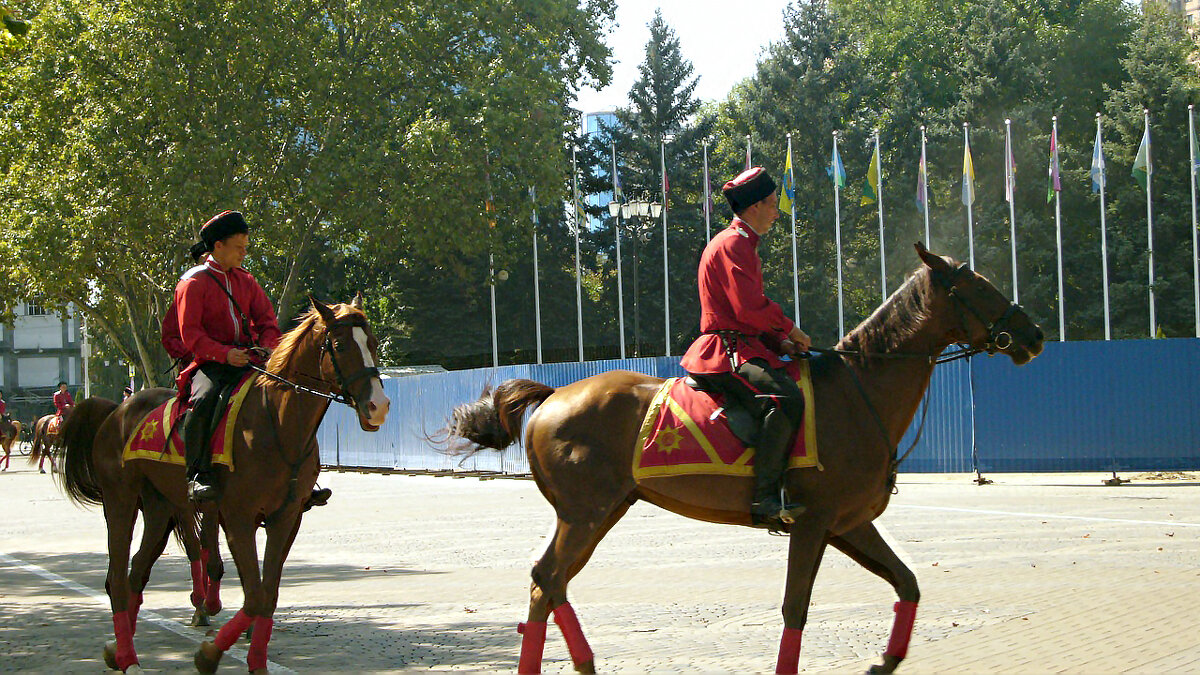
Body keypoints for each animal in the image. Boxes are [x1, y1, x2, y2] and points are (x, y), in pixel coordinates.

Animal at [59, 296, 388, 667]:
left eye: (373, 343)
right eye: (340, 345)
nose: (378, 406)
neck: (276, 423)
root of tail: (117, 411)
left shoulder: (286, 518)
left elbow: (267, 594)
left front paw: (254, 660)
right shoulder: (238, 518)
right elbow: (253, 593)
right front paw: (209, 653)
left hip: (160, 508)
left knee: (136, 573)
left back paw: (118, 649)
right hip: (122, 502)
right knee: (118, 579)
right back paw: (130, 658)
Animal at [446, 242, 1046, 672]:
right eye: (979, 287)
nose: (1035, 333)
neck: (858, 391)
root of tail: (554, 396)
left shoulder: (848, 525)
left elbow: (907, 584)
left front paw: (886, 660)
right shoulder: (814, 524)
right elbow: (795, 609)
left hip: (603, 513)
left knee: (550, 585)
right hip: (585, 515)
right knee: (547, 580)